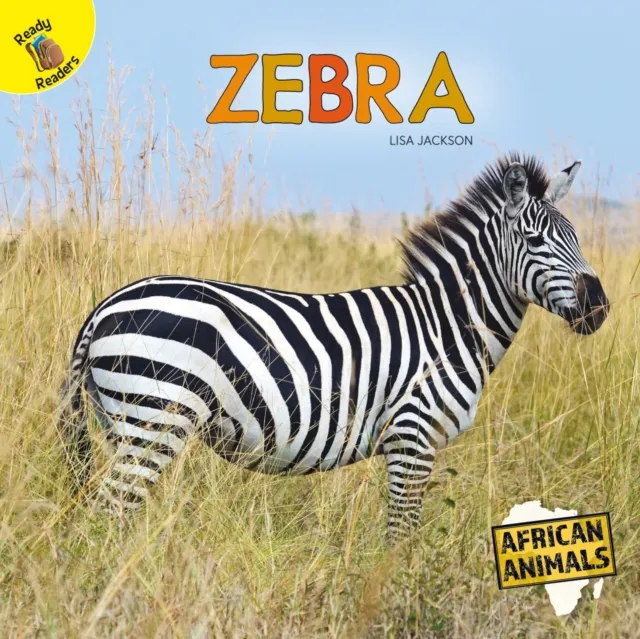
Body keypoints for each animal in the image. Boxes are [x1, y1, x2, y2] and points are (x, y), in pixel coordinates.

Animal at [59, 153, 609, 542]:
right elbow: (401, 539)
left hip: (122, 422)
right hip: (153, 420)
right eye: (536, 241)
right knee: (107, 517)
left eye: (577, 237)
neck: (447, 327)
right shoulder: (412, 438)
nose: (599, 306)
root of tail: (104, 306)